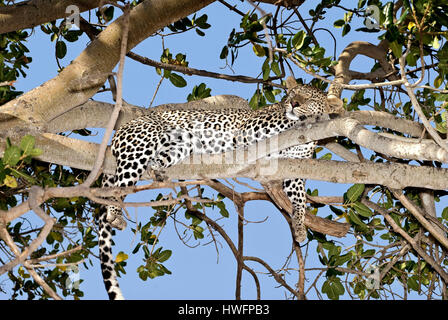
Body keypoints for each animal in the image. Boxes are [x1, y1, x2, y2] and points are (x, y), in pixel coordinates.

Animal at [96, 79, 330, 298]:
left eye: (309, 97)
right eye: (293, 94)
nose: (294, 103)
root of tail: (118, 132)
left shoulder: (294, 170)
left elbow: (300, 199)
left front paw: (299, 227)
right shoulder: (253, 126)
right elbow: (284, 123)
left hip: (179, 144)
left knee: (152, 164)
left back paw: (158, 172)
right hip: (142, 143)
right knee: (119, 185)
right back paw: (115, 214)